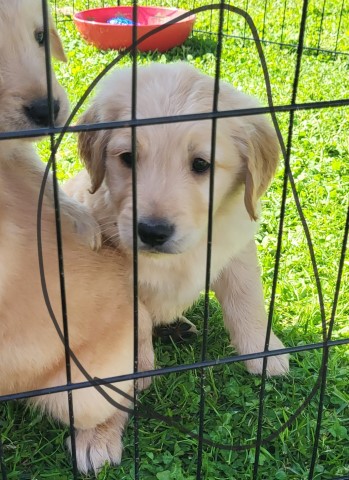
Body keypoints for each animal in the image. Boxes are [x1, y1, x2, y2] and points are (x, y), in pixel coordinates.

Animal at [0, 0, 153, 472]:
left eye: (40, 37)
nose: (46, 109)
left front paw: (81, 223)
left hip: (84, 390)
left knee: (121, 400)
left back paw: (96, 443)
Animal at [65, 62, 288, 376]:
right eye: (128, 157)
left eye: (201, 164)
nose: (152, 232)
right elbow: (137, 319)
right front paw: (138, 369)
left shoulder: (237, 248)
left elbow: (246, 297)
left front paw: (263, 350)